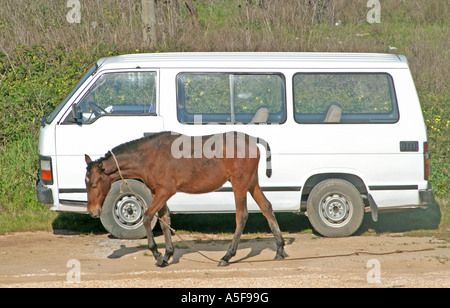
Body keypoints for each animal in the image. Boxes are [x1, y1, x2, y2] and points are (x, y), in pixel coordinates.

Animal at [85, 131, 288, 266]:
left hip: (239, 184)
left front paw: (157, 254)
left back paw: (227, 256)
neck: (148, 156)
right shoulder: (156, 192)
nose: (93, 211)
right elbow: (164, 220)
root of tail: (252, 140)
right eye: (86, 182)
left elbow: (148, 216)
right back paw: (280, 249)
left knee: (242, 215)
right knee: (267, 207)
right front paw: (167, 255)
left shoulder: (166, 191)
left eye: (93, 184)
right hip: (251, 182)